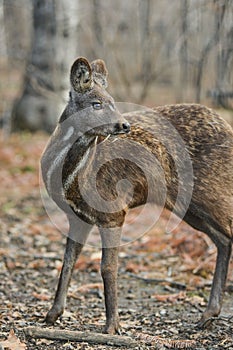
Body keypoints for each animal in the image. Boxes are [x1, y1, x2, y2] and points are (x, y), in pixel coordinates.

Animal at [40, 56, 233, 334]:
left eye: (112, 100)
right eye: (96, 103)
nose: (124, 125)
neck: (71, 178)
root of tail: (228, 128)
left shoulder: (114, 211)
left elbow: (108, 267)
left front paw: (113, 326)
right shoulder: (78, 217)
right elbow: (67, 263)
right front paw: (52, 314)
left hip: (214, 191)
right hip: (188, 206)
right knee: (223, 239)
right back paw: (207, 315)